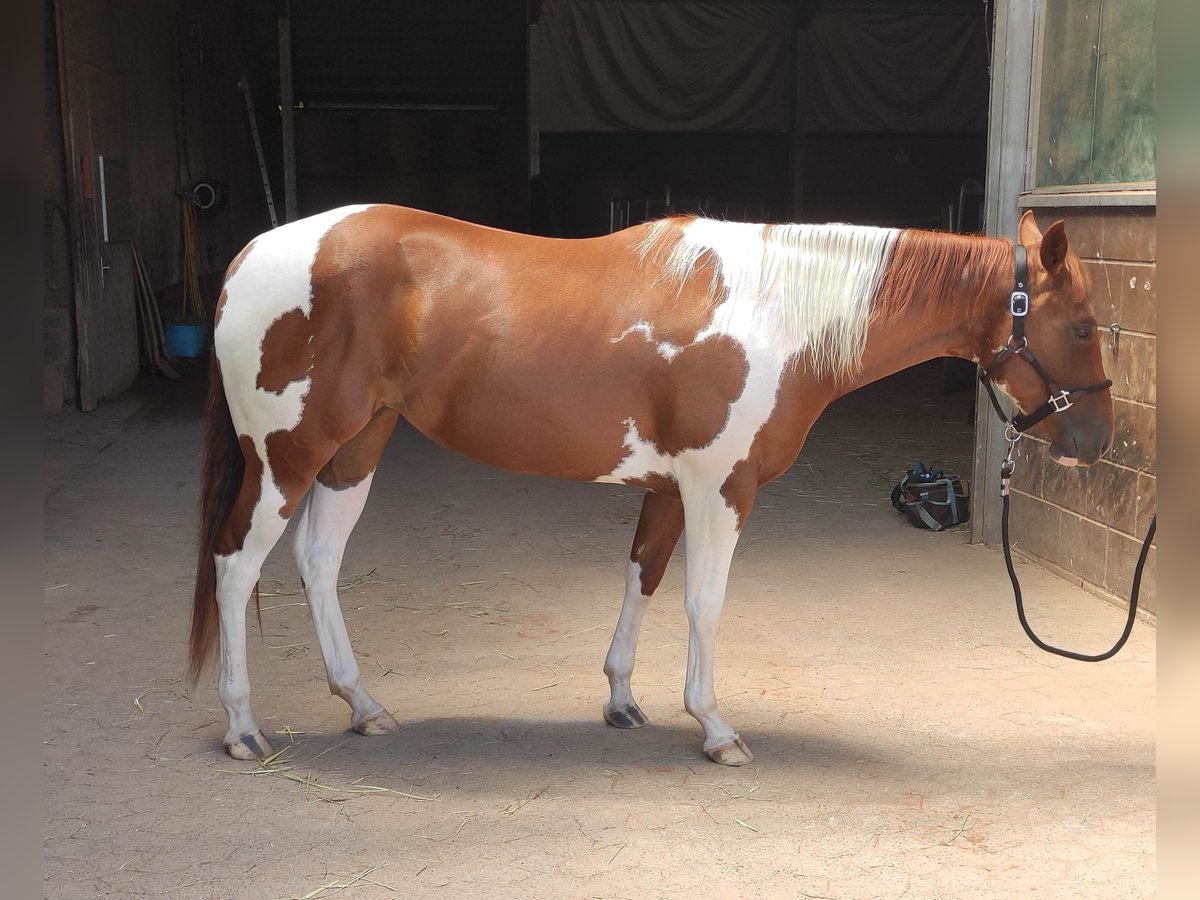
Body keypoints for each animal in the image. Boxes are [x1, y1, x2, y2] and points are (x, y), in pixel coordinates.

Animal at [189, 206, 1113, 768]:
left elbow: (644, 575)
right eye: (1080, 326)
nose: (1098, 443)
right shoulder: (722, 489)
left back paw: (362, 703)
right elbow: (704, 603)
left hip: (356, 448)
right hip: (286, 455)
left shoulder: (673, 488)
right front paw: (715, 728)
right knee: (236, 565)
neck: (775, 311)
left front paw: (623, 699)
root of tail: (248, 255)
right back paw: (241, 727)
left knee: (317, 563)